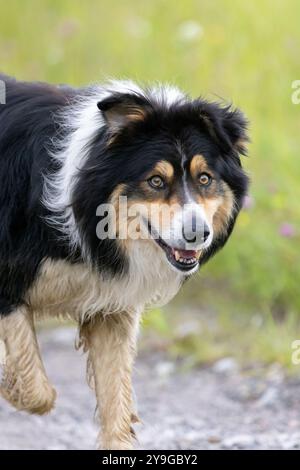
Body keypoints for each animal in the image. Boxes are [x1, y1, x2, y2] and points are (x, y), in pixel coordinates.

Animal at [0, 74, 248, 452]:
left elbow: (115, 393)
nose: (198, 234)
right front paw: (8, 383)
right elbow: (37, 390)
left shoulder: (110, 303)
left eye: (204, 178)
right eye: (156, 181)